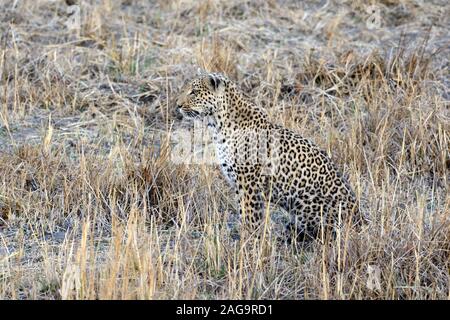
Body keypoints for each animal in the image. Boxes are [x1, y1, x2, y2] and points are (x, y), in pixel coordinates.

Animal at [174, 72, 360, 240]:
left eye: (194, 92)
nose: (177, 105)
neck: (217, 123)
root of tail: (359, 216)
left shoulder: (248, 183)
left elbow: (250, 215)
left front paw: (249, 241)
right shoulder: (239, 183)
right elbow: (243, 211)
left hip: (306, 203)